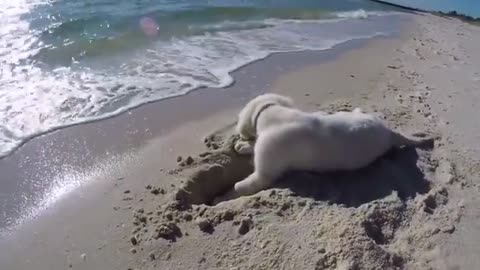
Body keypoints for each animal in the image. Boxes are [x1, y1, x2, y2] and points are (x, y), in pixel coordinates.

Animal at [216, 94, 434, 202]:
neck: (273, 114)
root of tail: (390, 133)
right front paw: (243, 145)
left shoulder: (264, 173)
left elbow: (244, 186)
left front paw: (224, 196)